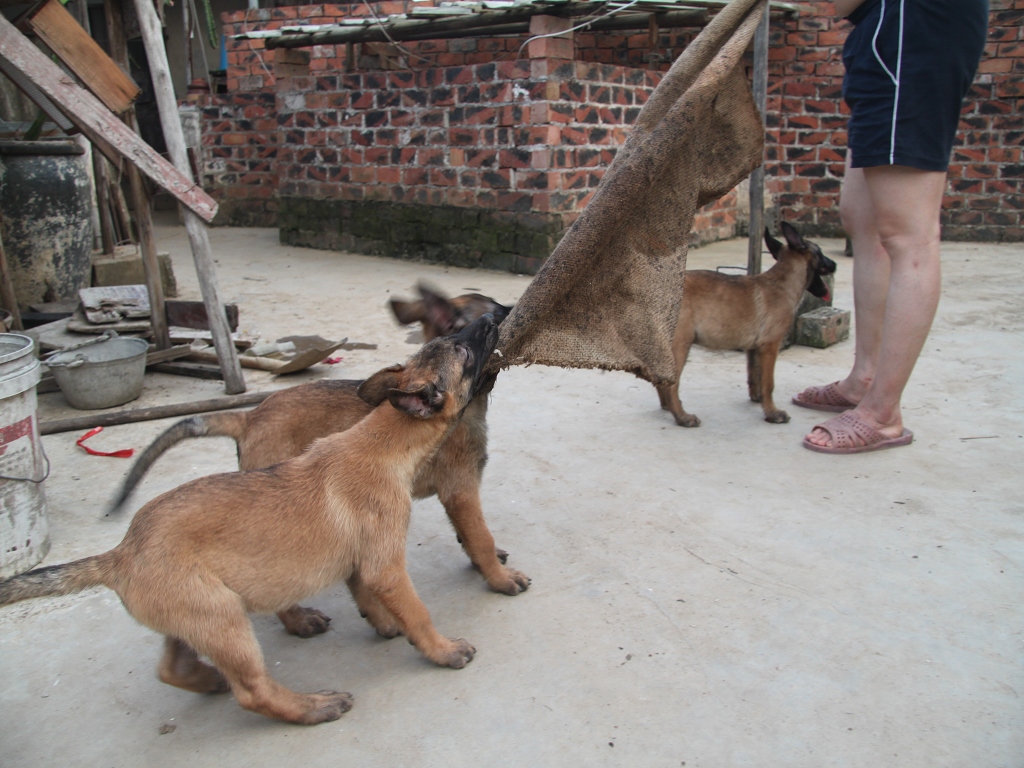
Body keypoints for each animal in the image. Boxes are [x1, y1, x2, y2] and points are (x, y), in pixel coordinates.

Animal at [0, 313, 501, 729]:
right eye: (462, 350)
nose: (491, 315)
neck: (383, 439)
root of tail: (118, 555)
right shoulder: (386, 564)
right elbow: (418, 609)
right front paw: (442, 649)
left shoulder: (362, 558)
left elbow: (365, 591)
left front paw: (384, 623)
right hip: (223, 618)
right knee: (253, 691)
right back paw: (313, 706)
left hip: (197, 615)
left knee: (173, 668)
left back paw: (214, 678)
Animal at [111, 286, 528, 638]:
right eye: (495, 314)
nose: (506, 310)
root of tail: (250, 417)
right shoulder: (460, 489)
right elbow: (480, 536)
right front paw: (499, 577)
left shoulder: (459, 492)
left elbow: (470, 536)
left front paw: (485, 562)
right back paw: (298, 621)